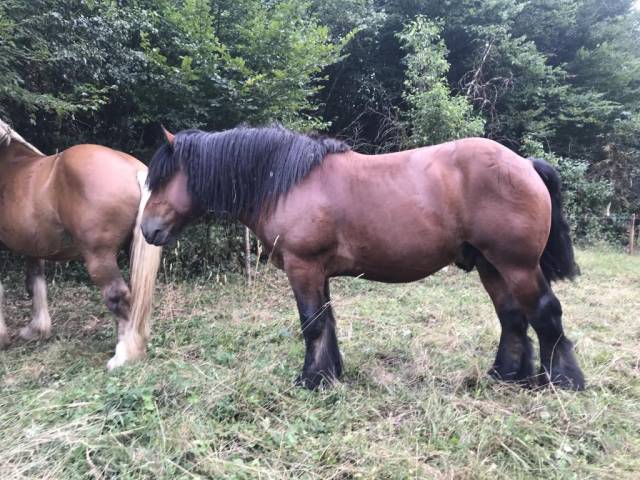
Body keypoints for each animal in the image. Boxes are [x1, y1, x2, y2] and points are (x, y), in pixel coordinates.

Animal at [0, 119, 160, 368]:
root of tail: (133, 169)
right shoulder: (32, 247)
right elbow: (34, 282)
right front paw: (36, 330)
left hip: (99, 257)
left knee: (119, 297)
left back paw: (123, 356)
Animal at [140, 126, 584, 390]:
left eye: (162, 179)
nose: (147, 230)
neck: (285, 182)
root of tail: (524, 163)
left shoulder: (303, 266)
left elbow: (312, 324)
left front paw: (311, 380)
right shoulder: (318, 271)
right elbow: (327, 321)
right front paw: (330, 374)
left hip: (517, 265)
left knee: (545, 312)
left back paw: (563, 380)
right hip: (492, 266)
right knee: (513, 317)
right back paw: (505, 376)